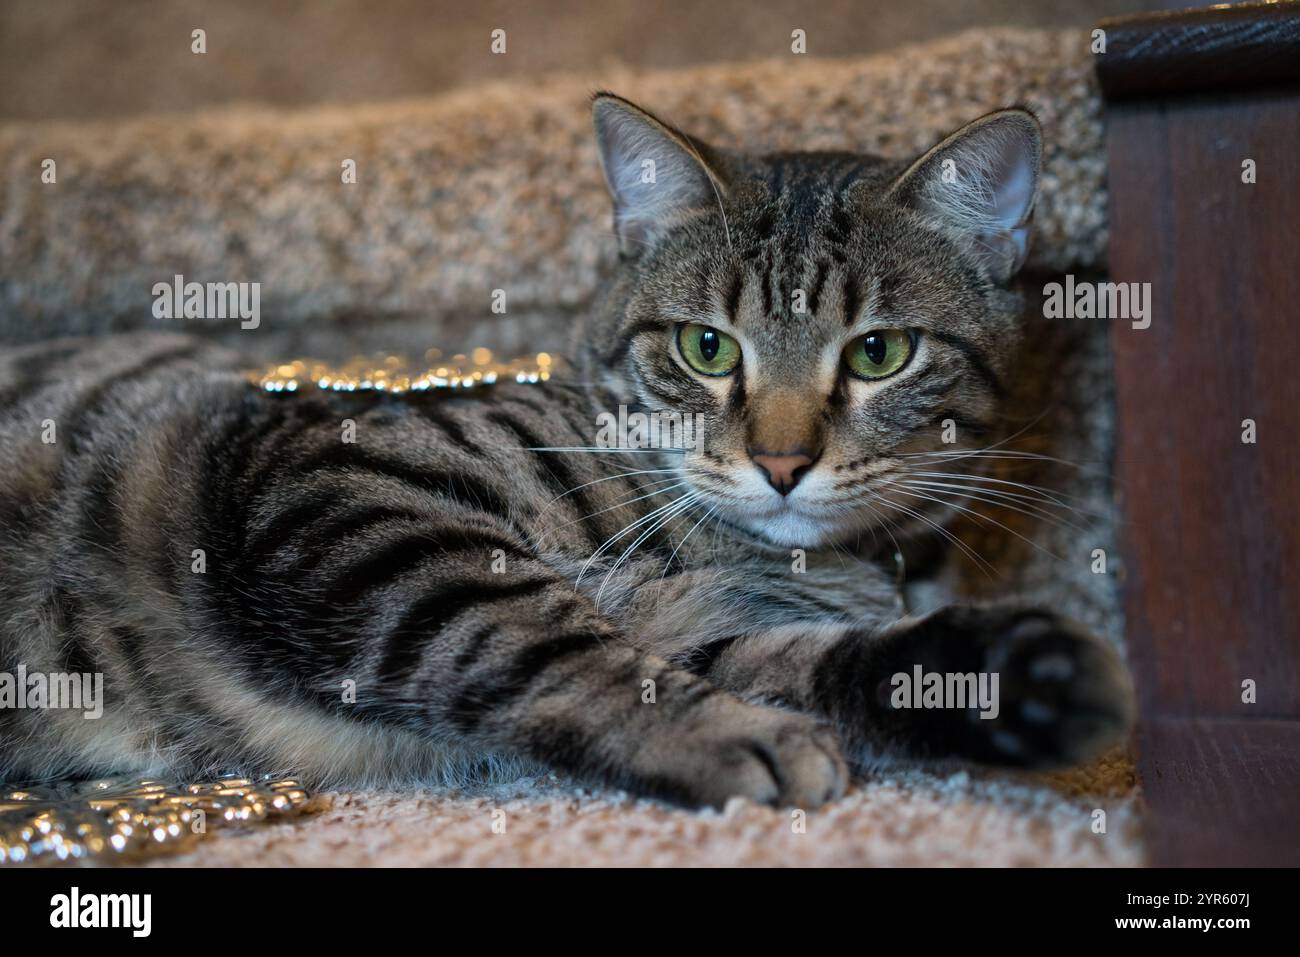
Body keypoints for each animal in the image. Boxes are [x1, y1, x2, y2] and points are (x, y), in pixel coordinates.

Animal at [0, 93, 1133, 806]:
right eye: (706, 347)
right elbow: (550, 644)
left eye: (881, 352)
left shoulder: (720, 626)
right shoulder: (338, 488)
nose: (781, 463)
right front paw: (732, 737)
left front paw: (1013, 679)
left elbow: (811, 660)